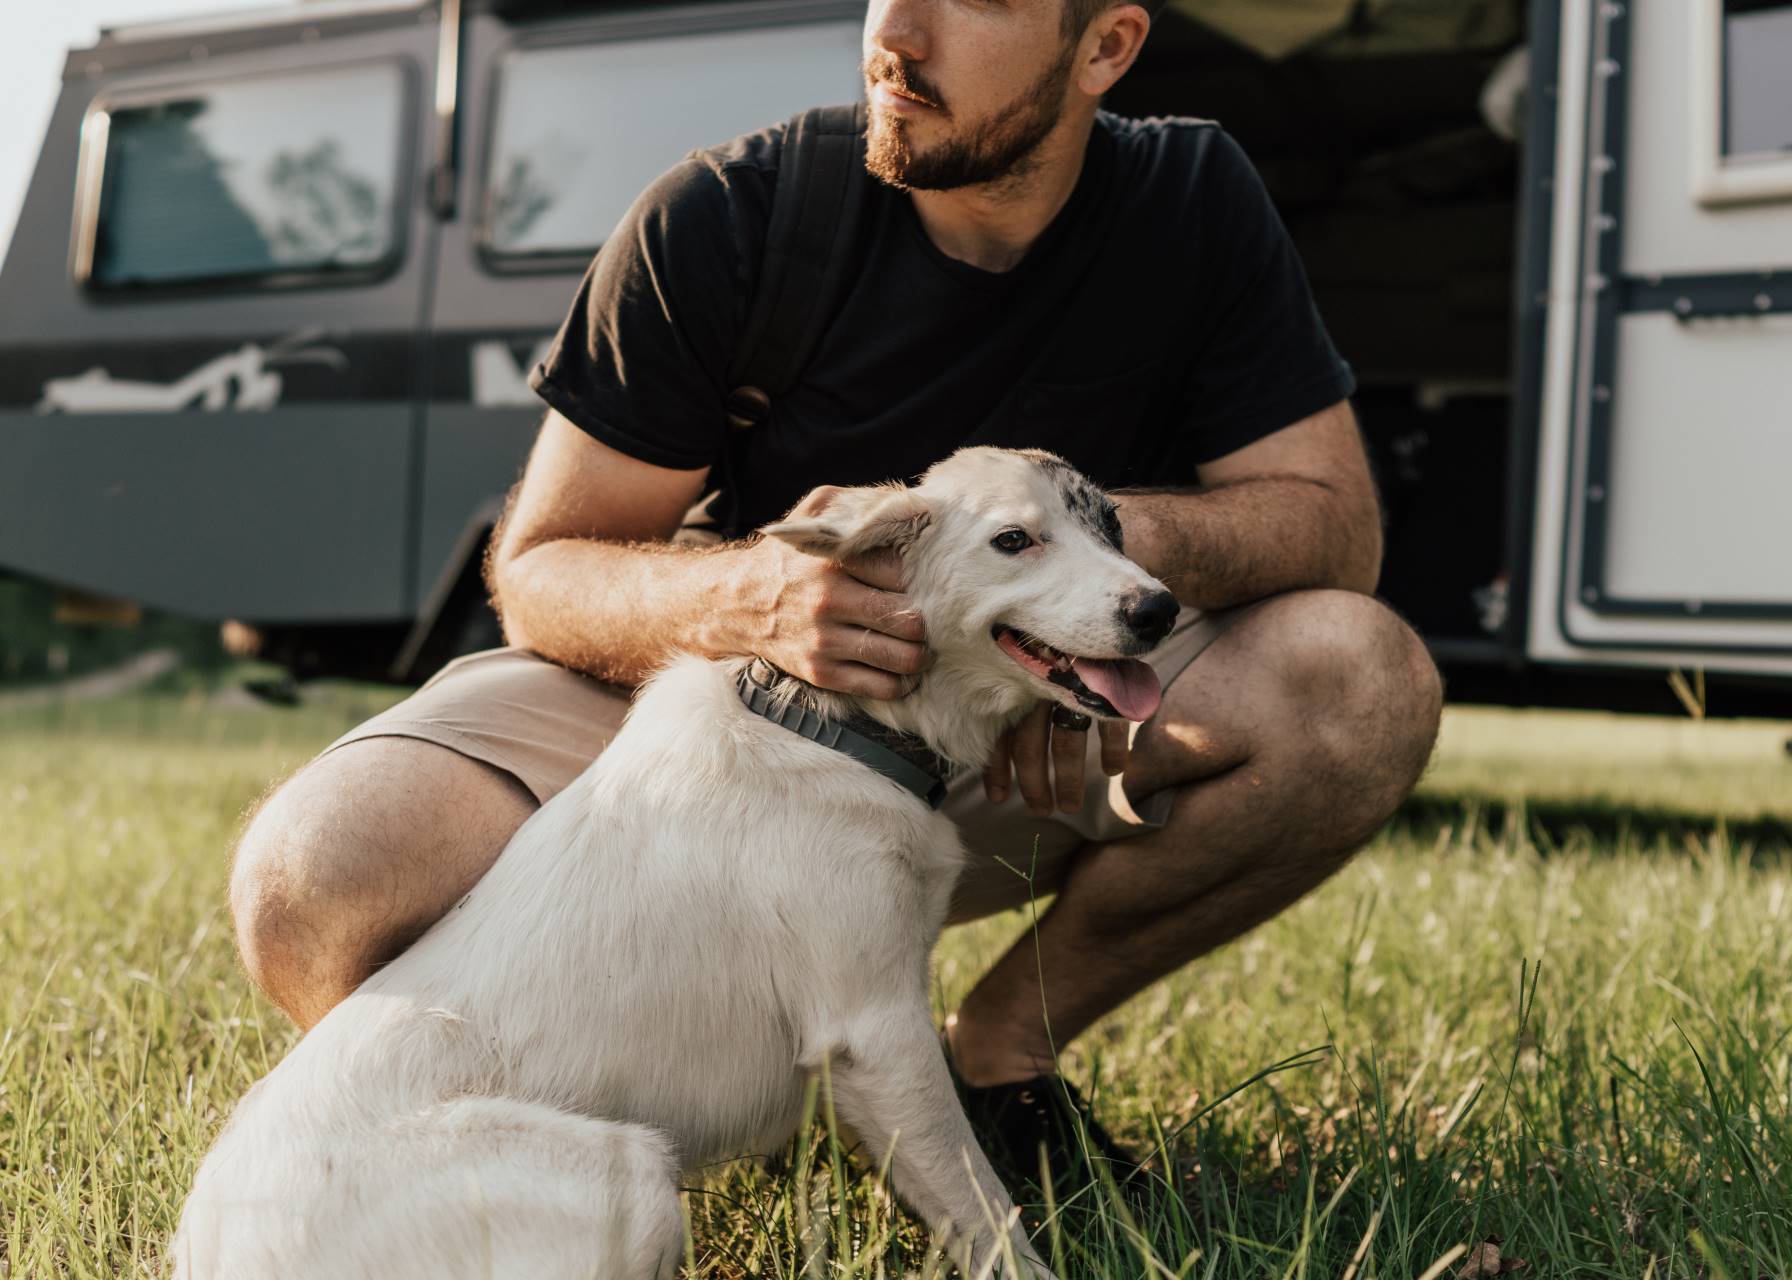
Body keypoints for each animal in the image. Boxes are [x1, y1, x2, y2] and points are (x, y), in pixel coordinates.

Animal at [174, 444, 1182, 1269]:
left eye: (1112, 525)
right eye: (1014, 540)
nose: (1159, 607)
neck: (822, 719)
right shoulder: (876, 1028)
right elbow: (986, 1211)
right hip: (632, 1173)